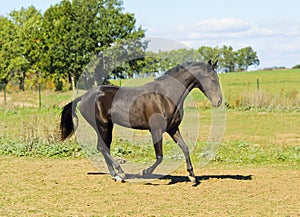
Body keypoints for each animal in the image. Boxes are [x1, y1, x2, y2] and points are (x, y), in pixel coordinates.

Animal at [59, 60, 221, 182]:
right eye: (212, 79)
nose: (218, 101)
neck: (166, 96)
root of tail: (84, 97)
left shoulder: (172, 129)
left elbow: (185, 148)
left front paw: (192, 175)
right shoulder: (156, 130)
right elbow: (160, 157)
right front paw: (144, 171)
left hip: (106, 126)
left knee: (103, 147)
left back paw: (116, 175)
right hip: (103, 126)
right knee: (103, 148)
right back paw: (120, 172)